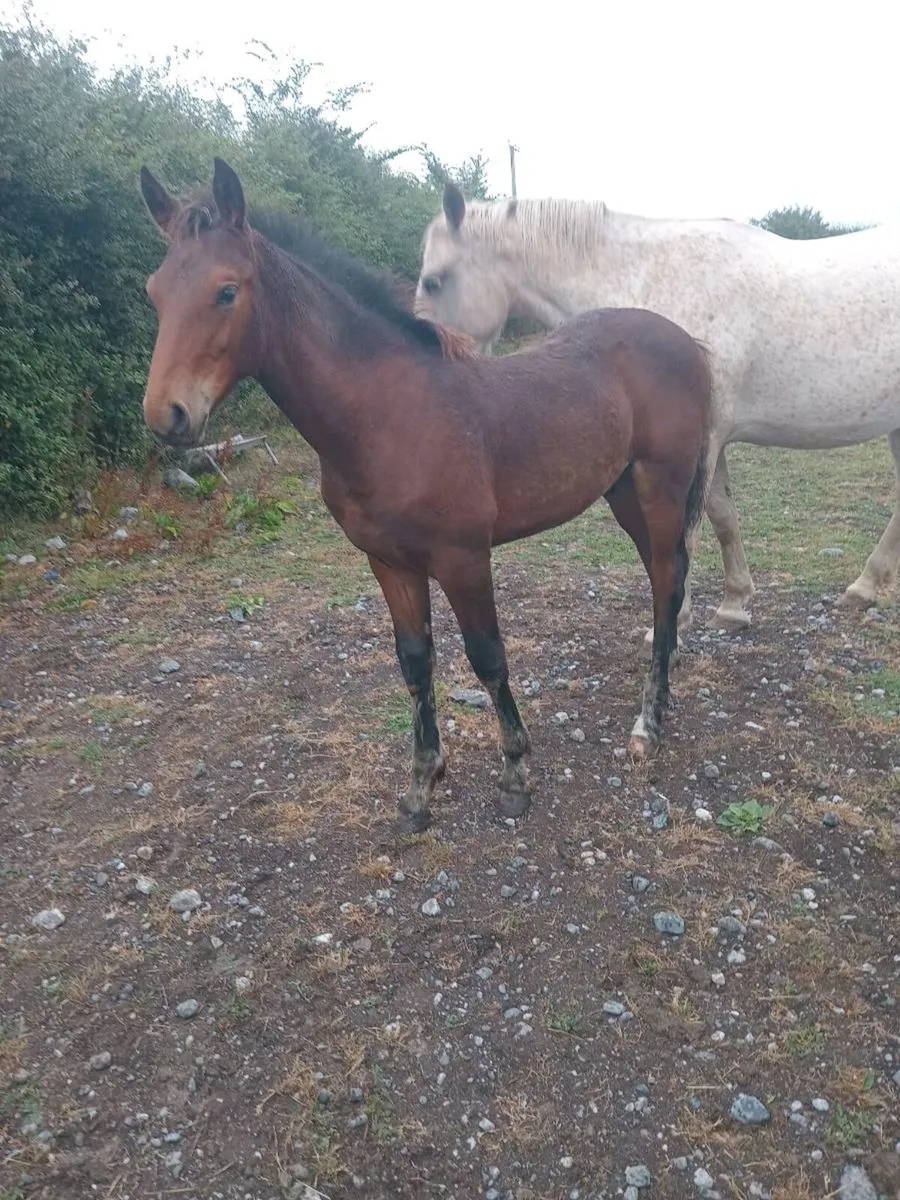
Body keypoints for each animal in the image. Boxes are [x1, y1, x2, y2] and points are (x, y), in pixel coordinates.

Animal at [138, 158, 712, 832]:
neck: (389, 413)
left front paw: (515, 773)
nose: (167, 415)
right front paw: (421, 785)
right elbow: (415, 660)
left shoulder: (463, 558)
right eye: (154, 292)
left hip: (660, 487)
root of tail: (686, 341)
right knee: (664, 579)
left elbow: (487, 657)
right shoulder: (388, 562)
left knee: (666, 582)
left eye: (226, 291)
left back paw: (648, 724)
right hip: (623, 492)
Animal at [416, 182, 900, 640]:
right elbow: (722, 516)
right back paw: (864, 588)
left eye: (434, 281)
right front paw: (733, 606)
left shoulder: (696, 442)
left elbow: (684, 529)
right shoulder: (708, 441)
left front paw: (673, 624)